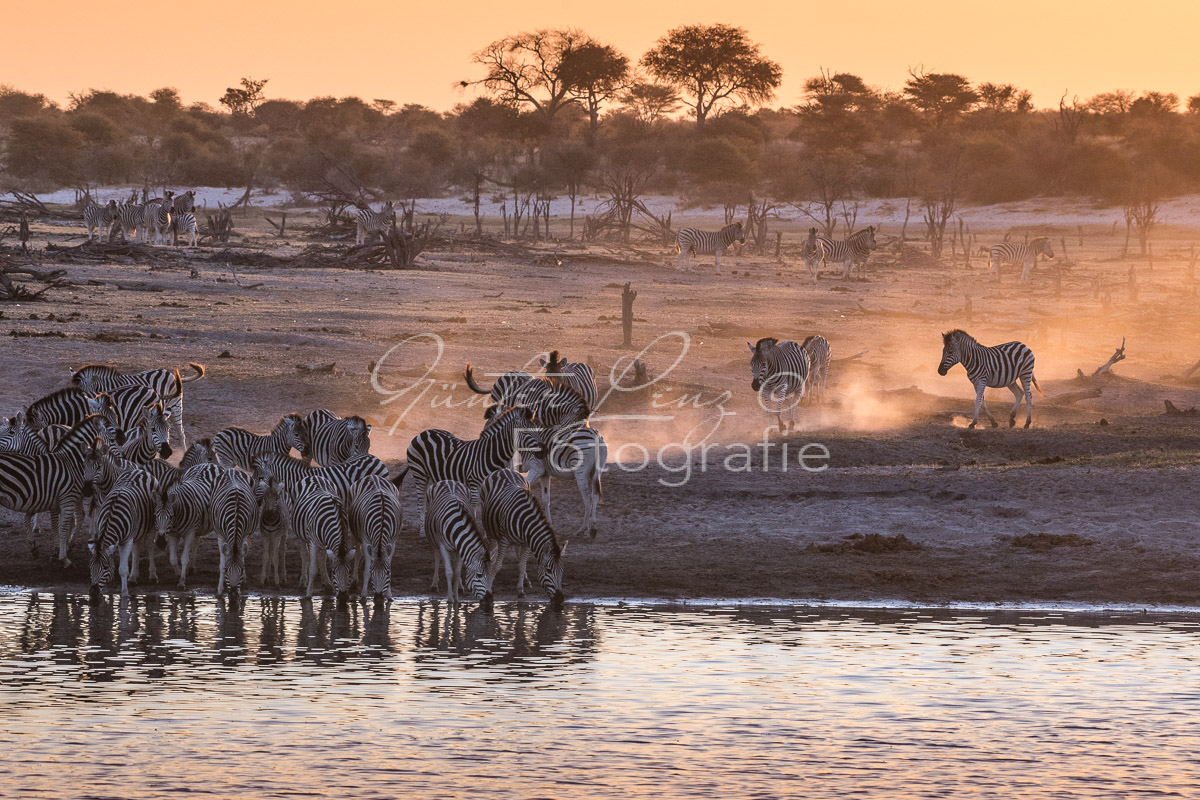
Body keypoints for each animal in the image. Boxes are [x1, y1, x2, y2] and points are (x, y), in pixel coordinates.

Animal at [0, 417, 108, 566]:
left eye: (10, 432)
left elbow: (56, 524)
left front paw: (58, 550)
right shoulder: (40, 496)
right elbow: (30, 518)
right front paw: (37, 546)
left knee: (90, 512)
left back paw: (87, 539)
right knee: (81, 514)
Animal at [87, 472, 162, 604]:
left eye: (105, 567)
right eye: (90, 567)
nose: (93, 593)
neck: (111, 516)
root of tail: (141, 471)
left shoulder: (126, 540)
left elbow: (122, 569)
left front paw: (125, 594)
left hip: (152, 523)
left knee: (149, 545)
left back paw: (152, 576)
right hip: (137, 528)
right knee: (137, 548)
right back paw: (133, 577)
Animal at [208, 465, 255, 597]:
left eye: (241, 570)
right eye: (227, 570)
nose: (233, 593)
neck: (235, 515)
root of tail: (232, 470)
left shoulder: (245, 533)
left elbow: (242, 555)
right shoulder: (220, 535)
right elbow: (222, 563)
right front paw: (219, 590)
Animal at [480, 465, 564, 604]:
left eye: (561, 570)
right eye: (548, 570)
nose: (560, 598)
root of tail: (504, 470)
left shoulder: (526, 543)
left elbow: (522, 565)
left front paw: (520, 590)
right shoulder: (504, 540)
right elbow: (497, 566)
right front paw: (488, 589)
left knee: (517, 553)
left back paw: (525, 580)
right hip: (489, 528)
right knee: (491, 550)